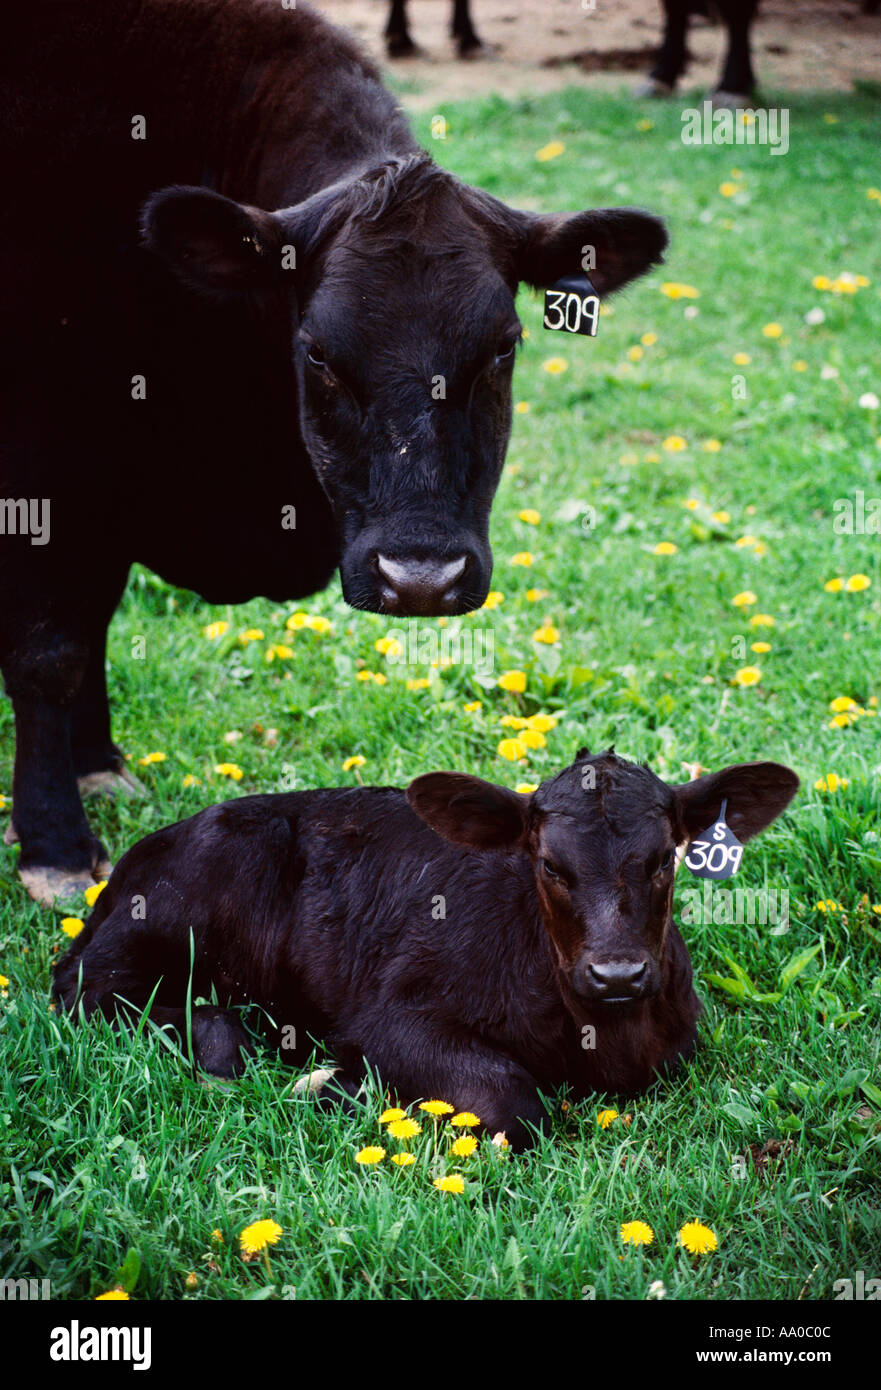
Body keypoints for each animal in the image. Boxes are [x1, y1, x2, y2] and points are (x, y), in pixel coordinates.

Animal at [0, 0, 667, 907]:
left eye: (503, 346)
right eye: (316, 352)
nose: (420, 576)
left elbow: (90, 621)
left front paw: (98, 764)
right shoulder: (45, 463)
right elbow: (50, 650)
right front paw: (56, 845)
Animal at [54, 749, 799, 1150]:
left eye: (664, 859)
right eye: (549, 865)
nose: (617, 973)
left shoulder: (678, 1040)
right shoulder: (388, 1017)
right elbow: (510, 1097)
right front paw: (337, 1088)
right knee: (86, 989)